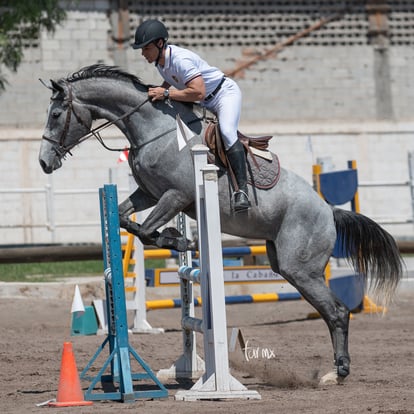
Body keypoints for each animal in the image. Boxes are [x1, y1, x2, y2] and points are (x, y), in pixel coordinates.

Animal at [38, 64, 402, 384]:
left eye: (56, 115)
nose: (44, 162)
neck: (154, 130)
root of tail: (328, 211)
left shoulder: (175, 195)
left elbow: (145, 231)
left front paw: (180, 240)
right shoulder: (148, 193)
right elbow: (127, 220)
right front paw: (176, 239)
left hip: (301, 268)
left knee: (337, 312)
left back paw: (338, 373)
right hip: (287, 266)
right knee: (330, 312)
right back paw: (335, 370)